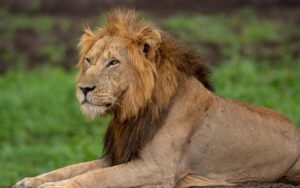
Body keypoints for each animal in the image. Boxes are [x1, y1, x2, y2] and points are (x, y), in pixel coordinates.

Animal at [14, 9, 300, 188]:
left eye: (113, 62)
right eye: (88, 60)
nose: (83, 89)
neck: (132, 111)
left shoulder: (156, 169)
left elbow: (93, 178)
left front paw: (49, 186)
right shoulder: (120, 155)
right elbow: (75, 168)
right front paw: (30, 181)